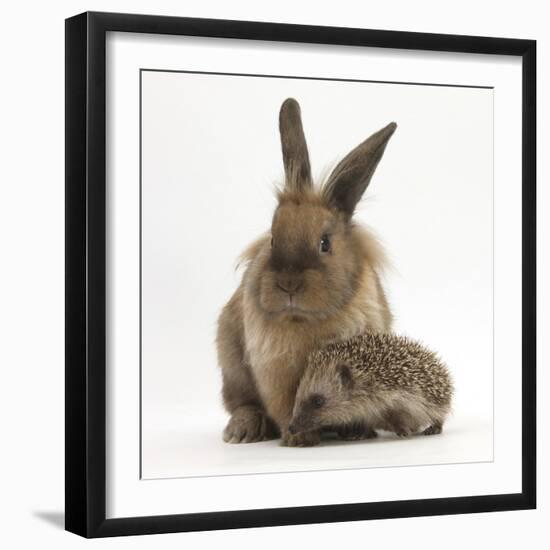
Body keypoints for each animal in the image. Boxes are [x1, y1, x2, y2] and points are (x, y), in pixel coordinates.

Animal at [217, 99, 396, 448]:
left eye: (324, 243)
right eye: (273, 239)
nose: (288, 284)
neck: (305, 320)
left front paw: (357, 431)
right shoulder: (277, 374)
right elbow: (287, 405)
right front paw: (298, 438)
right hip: (231, 366)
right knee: (242, 403)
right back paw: (243, 430)